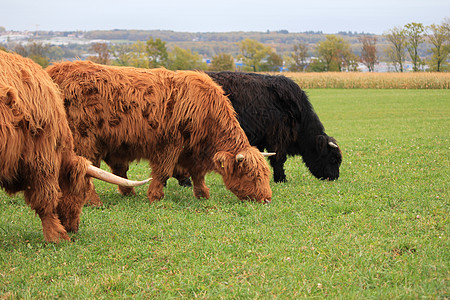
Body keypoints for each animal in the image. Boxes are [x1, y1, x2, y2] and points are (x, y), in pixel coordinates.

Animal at [45, 61, 272, 206]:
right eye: (251, 175)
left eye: (265, 175)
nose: (267, 199)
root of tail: (57, 70)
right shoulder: (169, 145)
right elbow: (162, 173)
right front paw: (155, 197)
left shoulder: (192, 151)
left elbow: (197, 175)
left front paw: (203, 195)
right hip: (84, 140)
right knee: (86, 171)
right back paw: (94, 202)